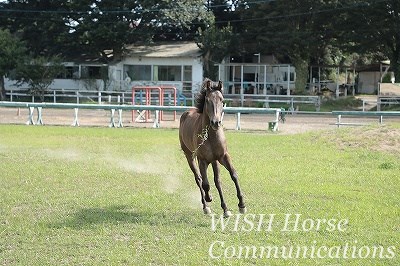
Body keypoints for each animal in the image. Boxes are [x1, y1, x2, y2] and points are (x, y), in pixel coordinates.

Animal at [179, 78, 247, 217]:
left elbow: (233, 175)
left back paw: (223, 208)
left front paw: (241, 205)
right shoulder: (203, 160)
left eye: (222, 100)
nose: (216, 122)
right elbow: (205, 184)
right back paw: (206, 205)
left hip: (214, 161)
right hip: (190, 156)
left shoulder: (223, 156)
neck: (211, 136)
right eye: (207, 100)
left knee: (217, 181)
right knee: (199, 179)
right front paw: (209, 198)